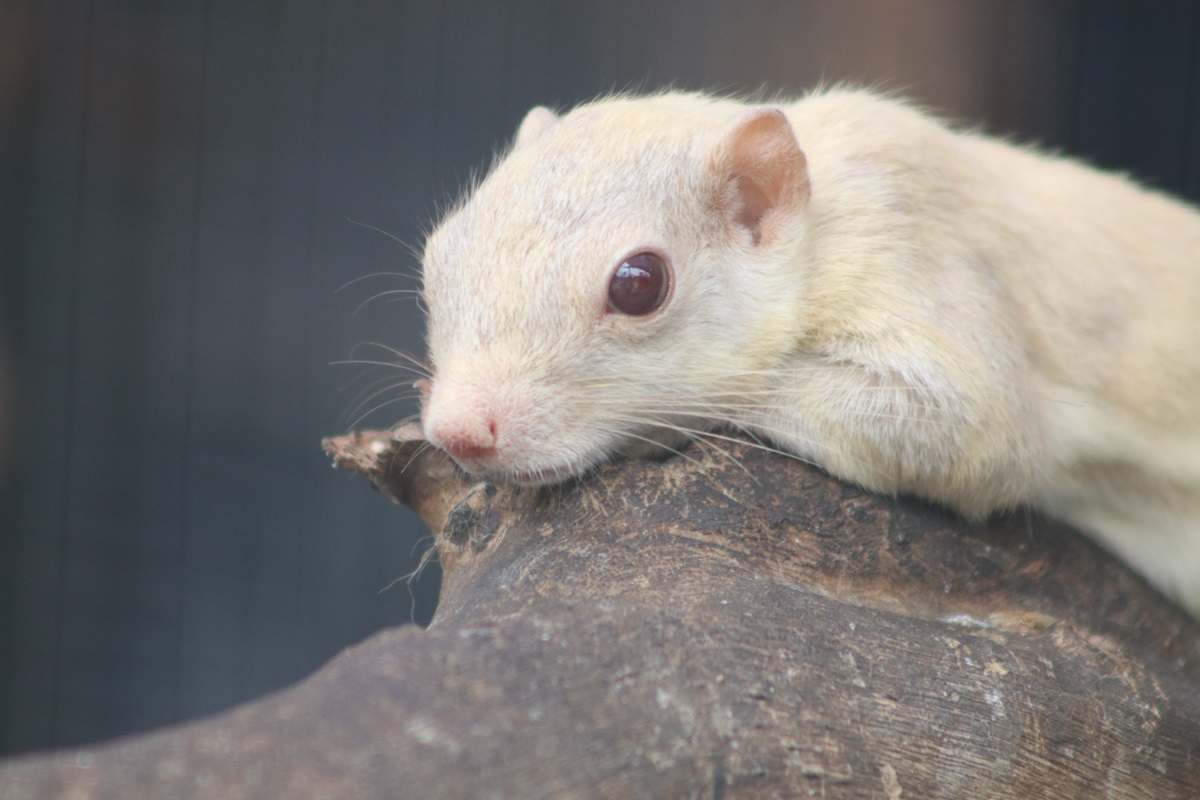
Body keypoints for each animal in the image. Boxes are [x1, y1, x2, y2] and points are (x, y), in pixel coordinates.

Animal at [415, 89, 1200, 616]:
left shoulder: (915, 258)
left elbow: (977, 435)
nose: (457, 429)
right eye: (437, 253)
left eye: (640, 284)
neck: (824, 212)